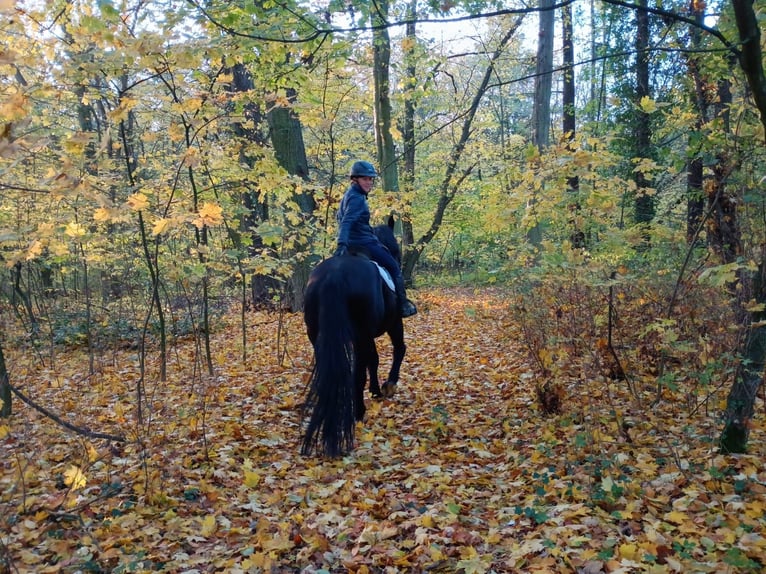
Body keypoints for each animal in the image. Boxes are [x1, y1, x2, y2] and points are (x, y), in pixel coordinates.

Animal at [300, 216, 407, 457]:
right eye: (395, 248)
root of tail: (334, 275)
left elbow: (373, 360)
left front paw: (377, 389)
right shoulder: (393, 323)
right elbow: (395, 351)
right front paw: (386, 386)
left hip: (318, 335)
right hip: (362, 334)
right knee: (360, 368)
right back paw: (358, 411)